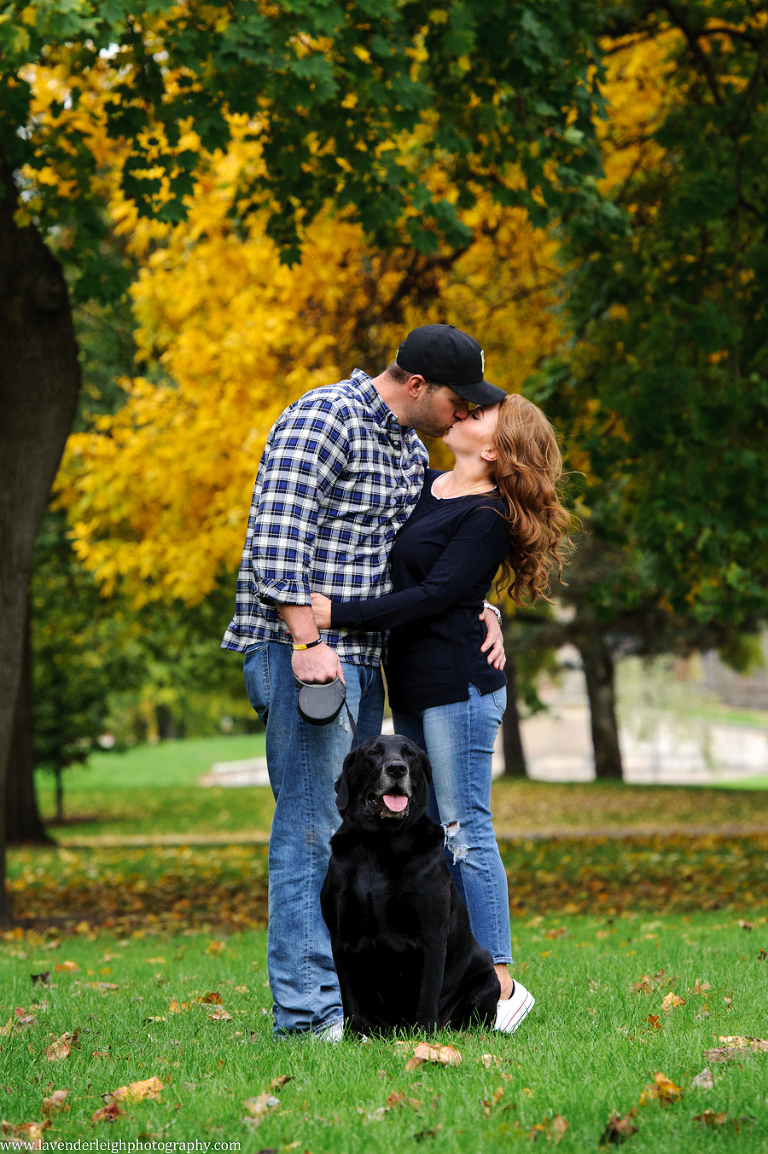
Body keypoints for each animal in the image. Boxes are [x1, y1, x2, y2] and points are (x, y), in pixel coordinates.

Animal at [320, 733, 500, 1043]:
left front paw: (425, 1038)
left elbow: (427, 993)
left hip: (487, 972)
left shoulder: (431, 936)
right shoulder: (340, 938)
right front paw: (353, 1039)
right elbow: (350, 999)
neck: (379, 842)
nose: (396, 769)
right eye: (373, 753)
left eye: (410, 755)